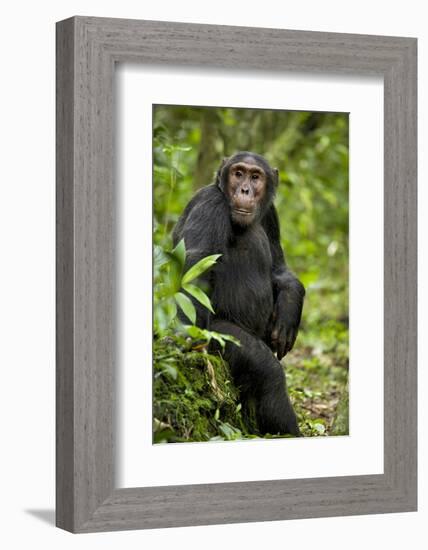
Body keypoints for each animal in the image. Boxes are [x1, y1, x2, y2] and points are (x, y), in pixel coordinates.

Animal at [173, 151, 304, 436]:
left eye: (255, 177)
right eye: (238, 173)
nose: (244, 189)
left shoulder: (271, 214)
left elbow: (279, 267)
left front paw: (289, 313)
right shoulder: (210, 205)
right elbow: (196, 265)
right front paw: (185, 340)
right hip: (218, 335)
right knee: (269, 374)